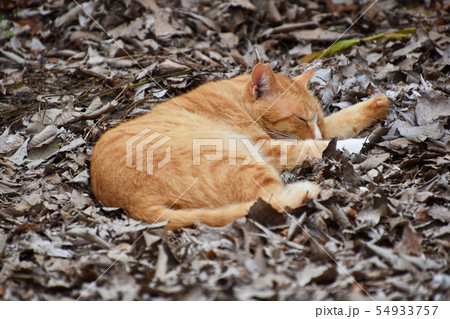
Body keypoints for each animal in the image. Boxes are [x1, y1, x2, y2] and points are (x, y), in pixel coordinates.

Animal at [91, 63, 390, 230]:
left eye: (314, 117)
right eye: (300, 118)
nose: (314, 129)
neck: (235, 100)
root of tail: (130, 201)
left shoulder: (321, 128)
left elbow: (335, 125)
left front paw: (377, 105)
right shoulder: (270, 149)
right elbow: (317, 145)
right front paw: (364, 141)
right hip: (240, 158)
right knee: (271, 199)